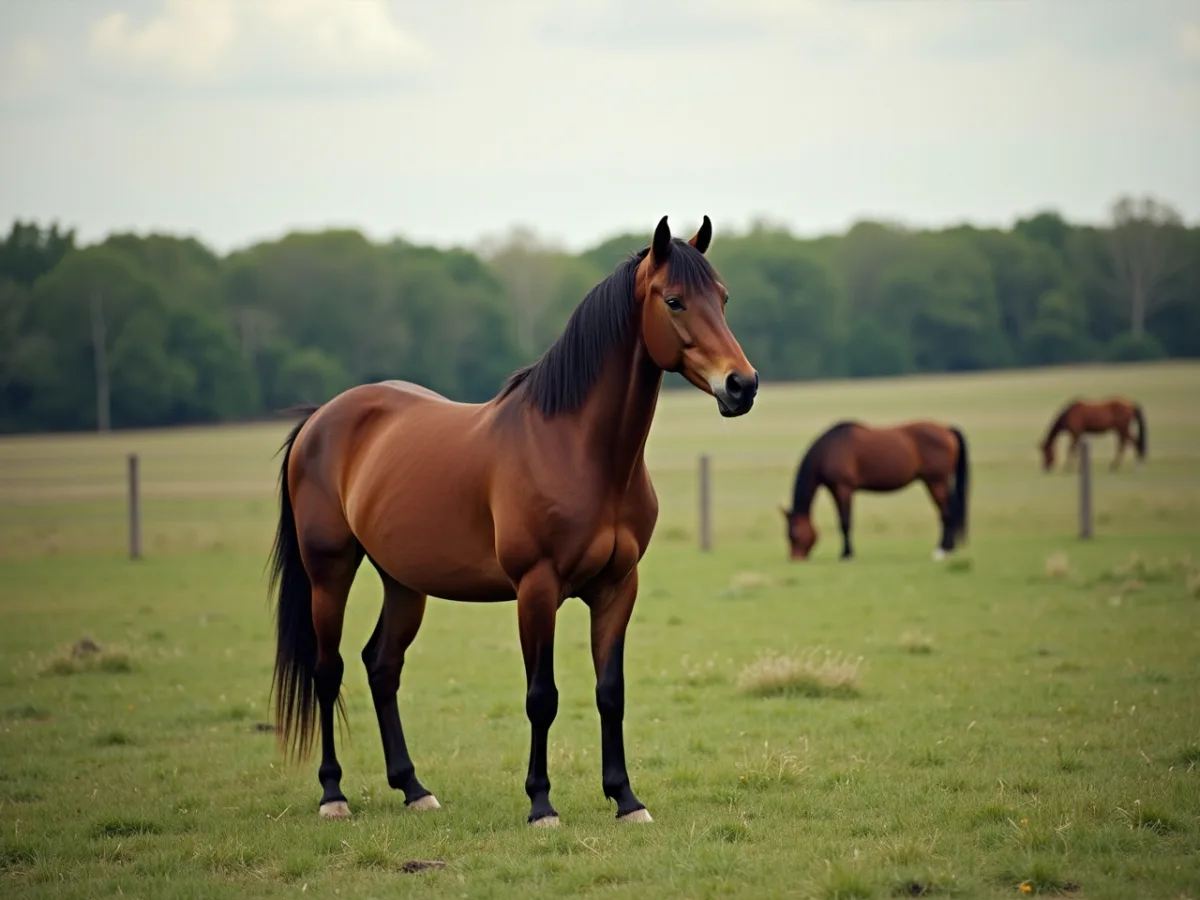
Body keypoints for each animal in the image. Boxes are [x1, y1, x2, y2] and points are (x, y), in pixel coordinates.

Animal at [267, 215, 758, 828]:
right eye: (674, 301)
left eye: (723, 298)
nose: (742, 385)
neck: (578, 450)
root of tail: (321, 419)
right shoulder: (536, 589)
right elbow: (541, 696)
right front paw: (541, 804)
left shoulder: (618, 587)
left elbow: (610, 691)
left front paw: (625, 799)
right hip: (329, 573)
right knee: (327, 669)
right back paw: (333, 795)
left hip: (403, 582)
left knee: (382, 666)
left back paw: (413, 787)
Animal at [780, 420, 969, 562]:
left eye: (794, 534)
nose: (794, 558)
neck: (829, 449)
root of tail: (947, 430)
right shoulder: (834, 489)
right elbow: (842, 521)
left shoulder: (843, 488)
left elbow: (845, 522)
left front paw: (847, 554)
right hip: (940, 483)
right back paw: (949, 548)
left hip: (936, 482)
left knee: (946, 513)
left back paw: (941, 551)